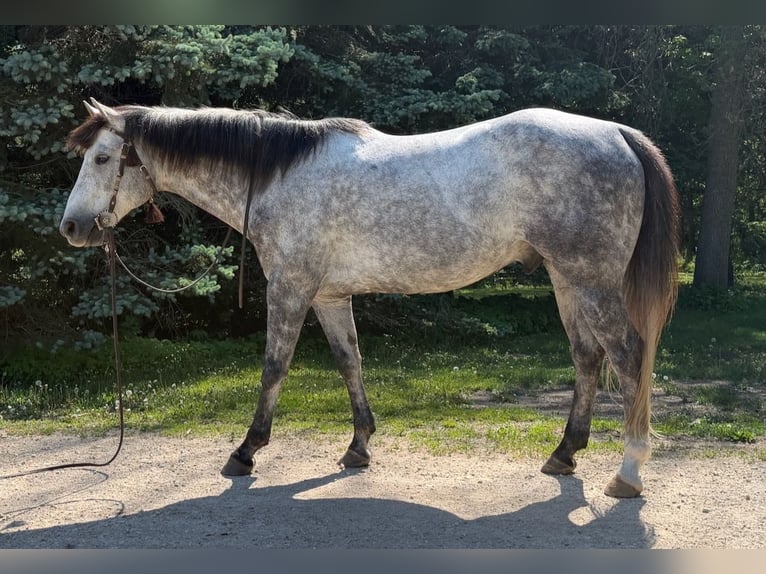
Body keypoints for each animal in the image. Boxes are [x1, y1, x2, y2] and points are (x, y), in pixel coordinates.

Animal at [60, 98, 680, 498]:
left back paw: (628, 472)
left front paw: (246, 450)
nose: (71, 227)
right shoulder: (331, 295)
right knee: (587, 358)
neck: (275, 174)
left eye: (101, 158)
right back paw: (564, 454)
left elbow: (274, 367)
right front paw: (359, 445)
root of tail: (617, 133)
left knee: (628, 358)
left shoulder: (291, 286)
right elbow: (349, 361)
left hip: (591, 280)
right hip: (566, 279)